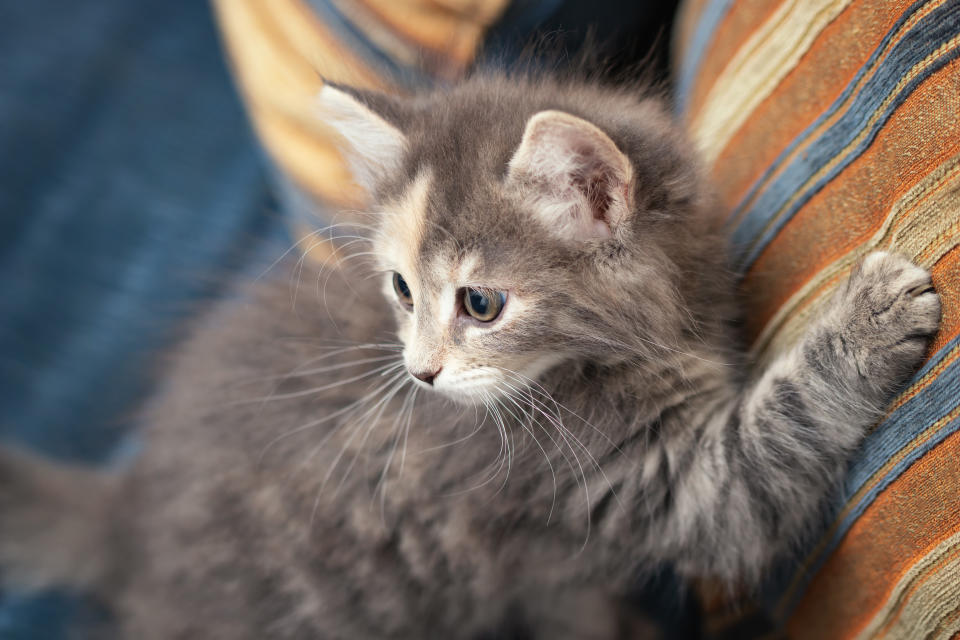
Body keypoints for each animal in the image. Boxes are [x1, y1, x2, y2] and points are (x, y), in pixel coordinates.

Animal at [0, 72, 944, 636]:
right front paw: (873, 311)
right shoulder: (640, 485)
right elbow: (776, 434)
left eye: (479, 304)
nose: (420, 372)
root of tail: (126, 517)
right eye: (401, 290)